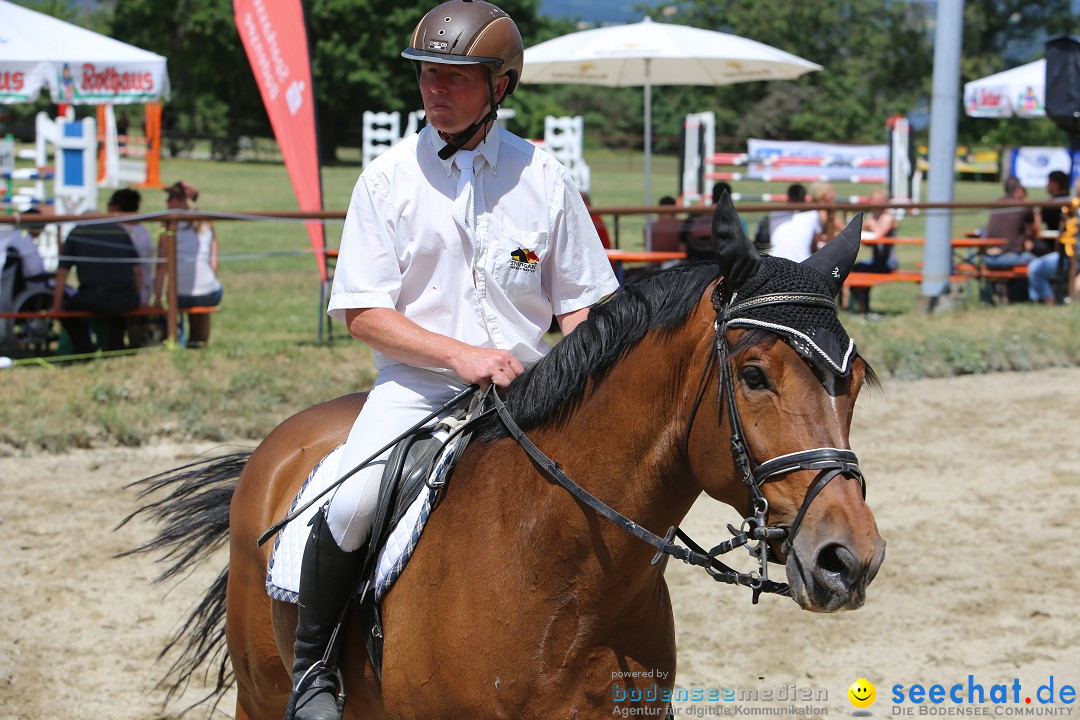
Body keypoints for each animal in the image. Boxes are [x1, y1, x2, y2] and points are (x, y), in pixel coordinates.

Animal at [128, 198, 885, 720]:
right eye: (754, 375)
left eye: (853, 379)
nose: (849, 558)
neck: (560, 575)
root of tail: (279, 445)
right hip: (261, 691)